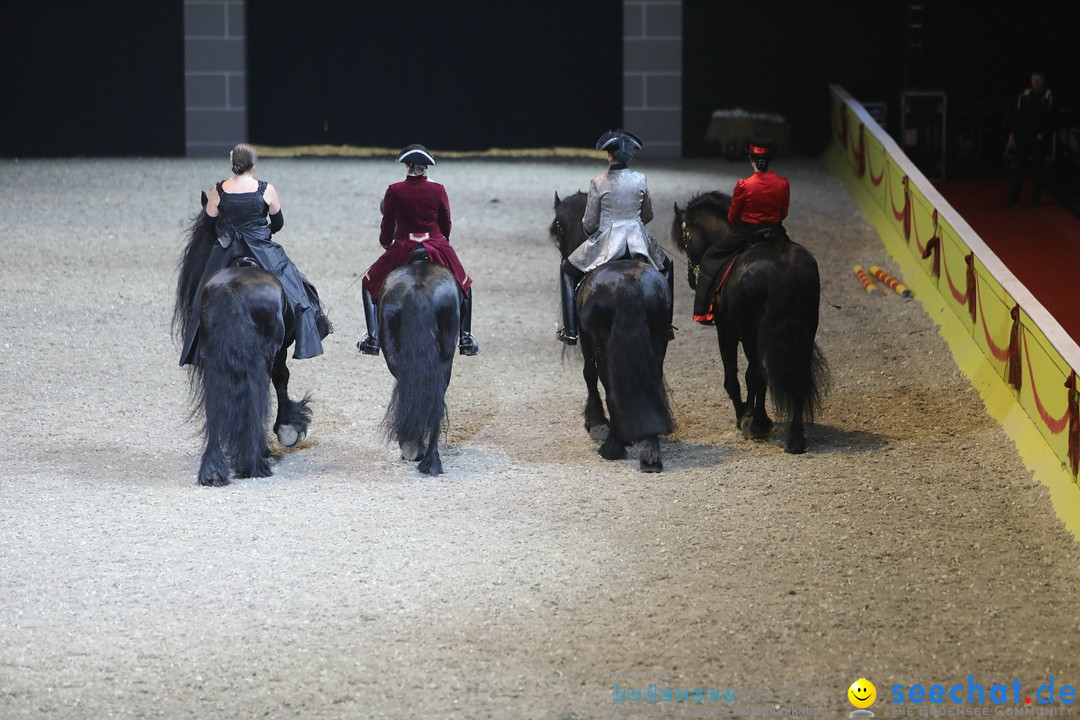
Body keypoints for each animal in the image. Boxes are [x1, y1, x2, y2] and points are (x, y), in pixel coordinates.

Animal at [170, 193, 311, 483]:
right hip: (265, 354)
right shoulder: (278, 352)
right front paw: (288, 427)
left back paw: (214, 470)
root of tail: (234, 287)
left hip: (215, 360)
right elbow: (281, 380)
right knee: (261, 392)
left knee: (215, 402)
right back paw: (255, 457)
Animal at [552, 191, 669, 472]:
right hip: (658, 338)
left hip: (603, 345)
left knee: (611, 385)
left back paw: (614, 444)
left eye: (559, 225)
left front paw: (595, 422)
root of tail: (629, 282)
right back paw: (650, 449)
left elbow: (588, 373)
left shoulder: (586, 338)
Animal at [673, 188, 825, 453]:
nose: (691, 280)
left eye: (685, 238)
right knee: (796, 374)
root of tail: (783, 270)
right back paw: (795, 437)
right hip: (804, 332)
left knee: (755, 373)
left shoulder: (726, 331)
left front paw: (746, 417)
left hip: (751, 334)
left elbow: (734, 378)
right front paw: (758, 418)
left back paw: (755, 423)